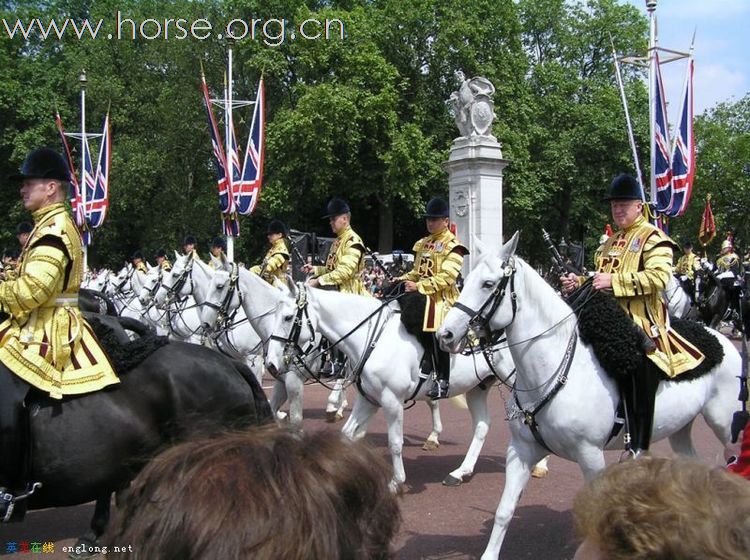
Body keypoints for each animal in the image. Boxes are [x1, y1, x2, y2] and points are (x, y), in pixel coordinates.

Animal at [268, 282, 524, 488]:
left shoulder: (392, 401)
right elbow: (347, 434)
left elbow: (395, 443)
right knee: (482, 426)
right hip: (477, 389)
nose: (271, 364)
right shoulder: (369, 399)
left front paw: (396, 482)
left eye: (288, 317)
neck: (373, 339)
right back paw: (460, 472)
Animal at [438, 233, 744, 560]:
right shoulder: (520, 451)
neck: (552, 371)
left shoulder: (591, 458)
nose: (445, 335)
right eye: (465, 279)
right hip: (681, 429)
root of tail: (718, 337)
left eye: (487, 283)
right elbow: (504, 511)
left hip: (726, 425)